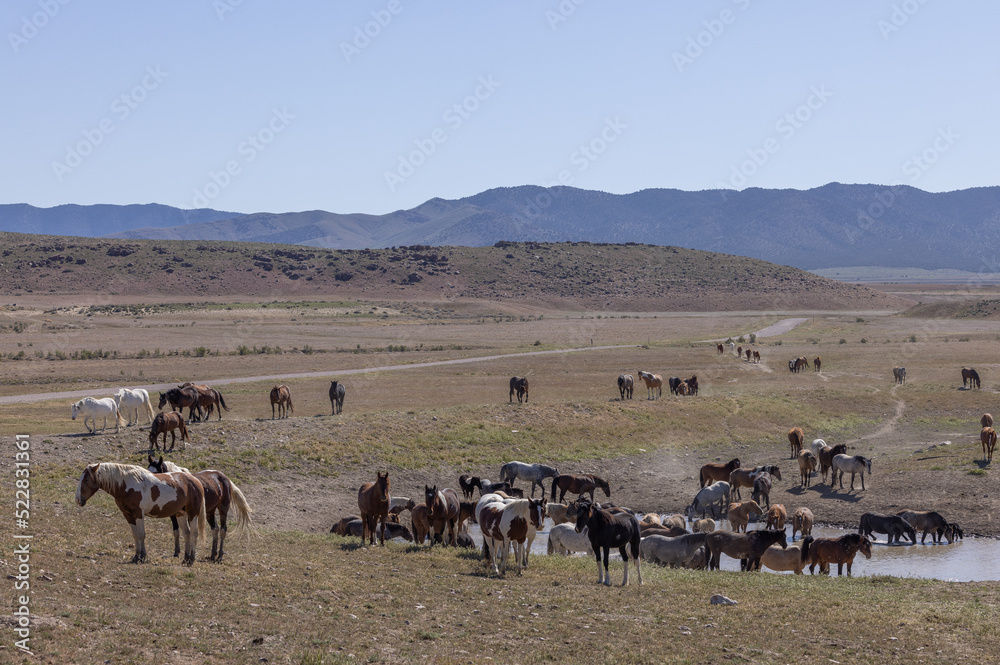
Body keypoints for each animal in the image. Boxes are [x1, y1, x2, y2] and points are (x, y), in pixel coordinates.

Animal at [76, 462, 207, 565]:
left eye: (86, 479)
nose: (78, 499)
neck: (126, 484)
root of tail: (196, 481)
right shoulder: (128, 515)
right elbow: (135, 535)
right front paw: (136, 556)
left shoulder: (139, 514)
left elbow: (141, 534)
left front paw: (142, 557)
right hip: (181, 514)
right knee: (187, 534)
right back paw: (185, 559)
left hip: (193, 513)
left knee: (194, 533)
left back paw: (191, 560)